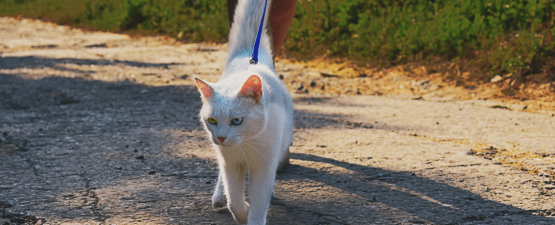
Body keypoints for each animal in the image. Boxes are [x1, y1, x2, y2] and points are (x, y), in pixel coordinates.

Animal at [193, 0, 294, 223]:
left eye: (237, 121)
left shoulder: (264, 167)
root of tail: (247, 57)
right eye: (212, 120)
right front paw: (242, 212)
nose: (221, 137)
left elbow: (259, 203)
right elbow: (235, 200)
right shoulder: (231, 164)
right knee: (223, 180)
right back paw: (219, 196)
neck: (246, 144)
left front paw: (252, 216)